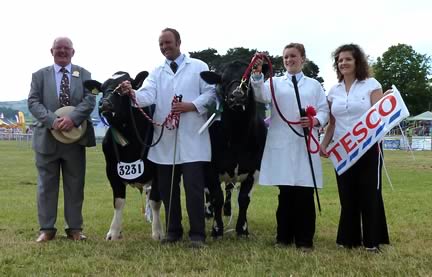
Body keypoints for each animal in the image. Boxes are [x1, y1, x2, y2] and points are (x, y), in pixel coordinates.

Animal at [84, 71, 164, 239]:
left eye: (124, 87)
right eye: (102, 89)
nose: (104, 104)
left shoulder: (158, 170)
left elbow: (155, 201)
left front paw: (157, 232)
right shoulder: (111, 171)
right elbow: (118, 202)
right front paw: (114, 232)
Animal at [201, 60, 268, 237]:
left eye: (249, 79)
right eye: (223, 80)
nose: (237, 95)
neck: (237, 137)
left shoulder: (254, 169)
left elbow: (244, 199)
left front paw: (242, 229)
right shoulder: (210, 168)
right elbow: (216, 196)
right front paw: (217, 229)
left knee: (230, 188)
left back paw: (227, 210)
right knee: (208, 192)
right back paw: (208, 212)